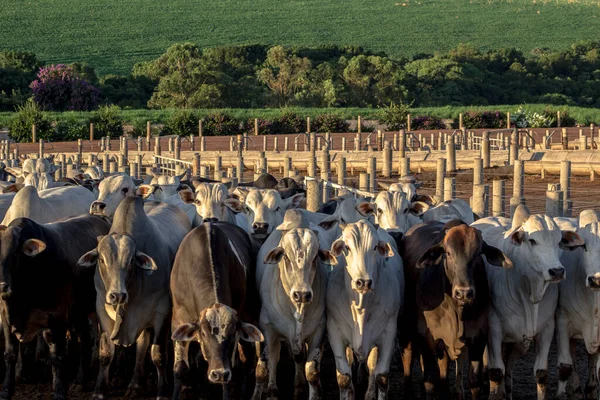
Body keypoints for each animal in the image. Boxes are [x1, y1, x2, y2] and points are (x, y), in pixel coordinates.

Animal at [0, 216, 110, 400]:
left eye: (15, 252)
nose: (2, 286)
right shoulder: (7, 319)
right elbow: (10, 354)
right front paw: (6, 390)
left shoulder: (56, 319)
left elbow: (57, 357)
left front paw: (59, 391)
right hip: (79, 312)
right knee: (84, 339)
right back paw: (80, 380)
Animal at [77, 197, 190, 400]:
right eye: (101, 259)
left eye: (130, 260)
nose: (117, 295)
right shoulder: (102, 311)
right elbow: (106, 353)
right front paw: (99, 390)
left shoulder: (161, 314)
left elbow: (158, 355)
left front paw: (162, 392)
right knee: (141, 345)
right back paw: (136, 384)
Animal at [326, 219, 406, 400]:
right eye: (347, 247)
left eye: (375, 247)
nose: (363, 282)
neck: (360, 307)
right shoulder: (334, 331)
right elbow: (344, 377)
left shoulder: (388, 334)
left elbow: (381, 376)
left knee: (371, 365)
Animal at [472, 206, 584, 400]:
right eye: (532, 240)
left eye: (558, 242)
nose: (557, 271)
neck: (529, 295)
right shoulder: (494, 330)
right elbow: (496, 372)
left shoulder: (547, 329)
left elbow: (541, 373)